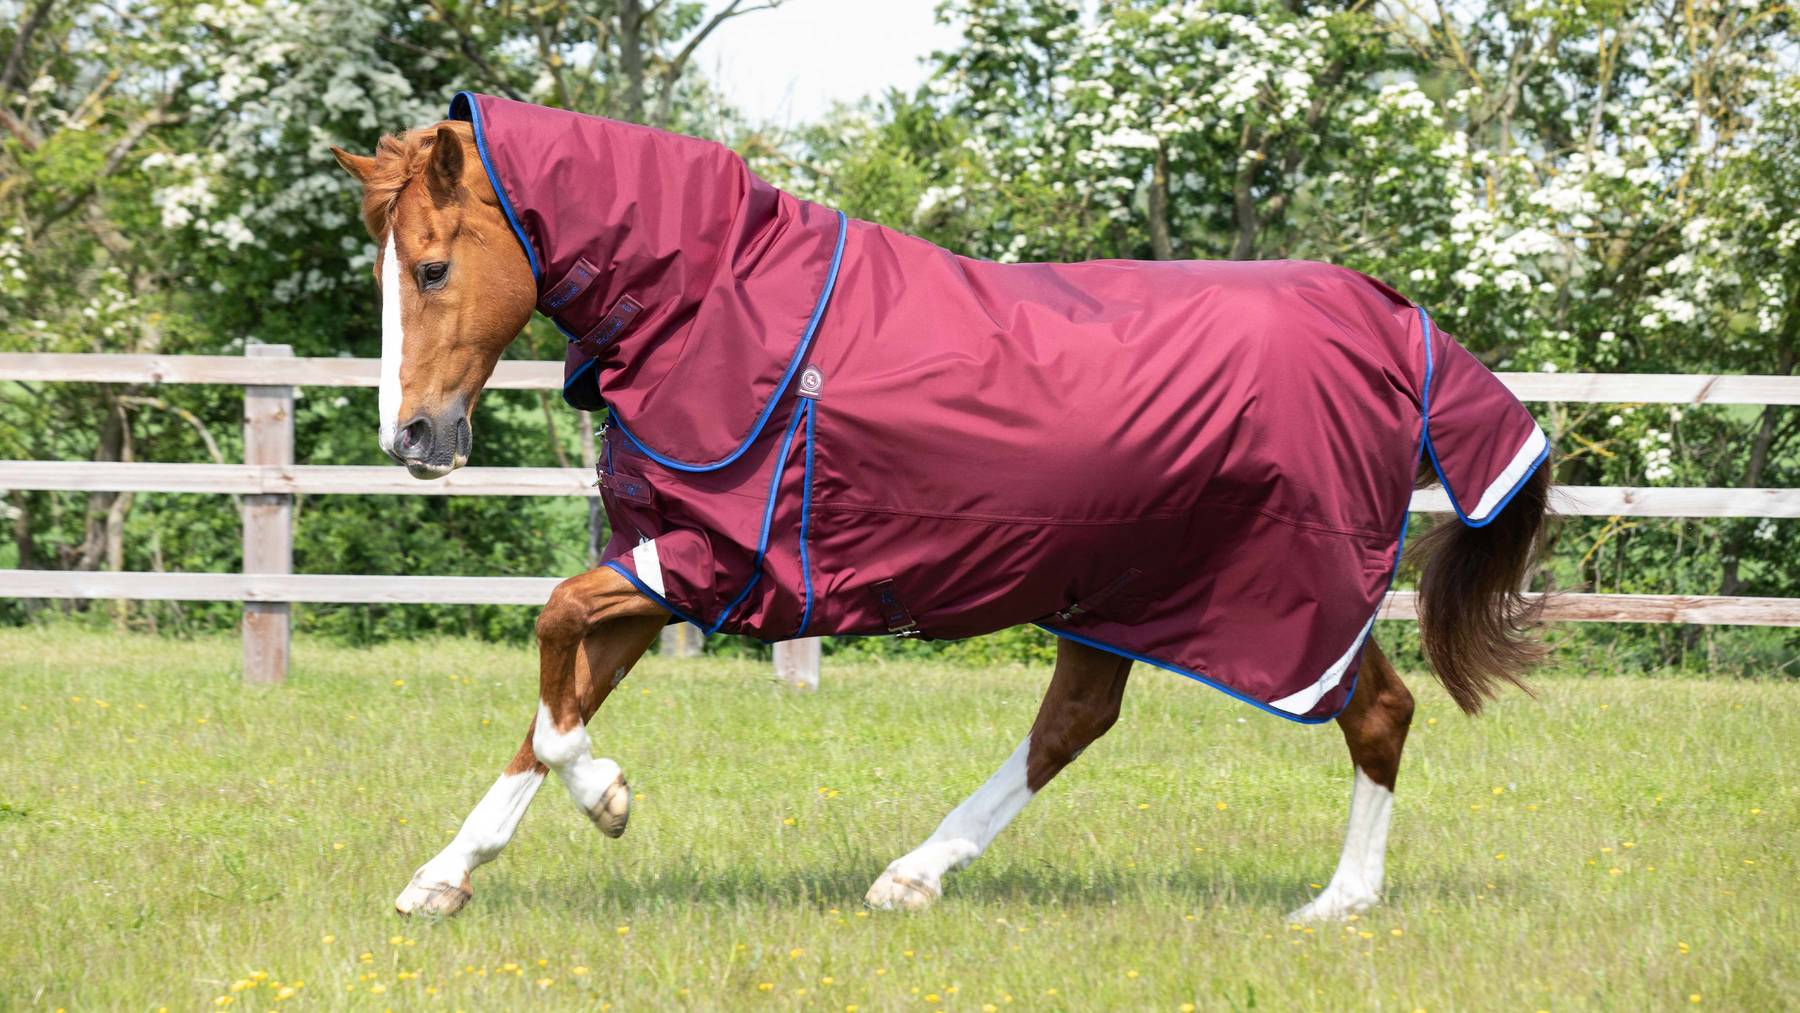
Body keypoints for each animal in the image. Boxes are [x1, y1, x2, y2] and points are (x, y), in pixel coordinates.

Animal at [329, 93, 1551, 922]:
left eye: (431, 269)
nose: (412, 439)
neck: (716, 300)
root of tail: (1397, 325)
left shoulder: (714, 561)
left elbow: (552, 641)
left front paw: (611, 799)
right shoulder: (658, 563)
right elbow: (552, 701)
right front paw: (442, 877)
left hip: (1289, 598)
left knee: (1373, 709)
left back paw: (1338, 902)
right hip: (1121, 589)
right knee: (1083, 720)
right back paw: (917, 874)